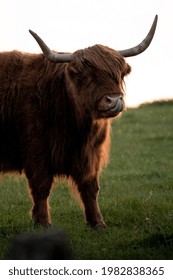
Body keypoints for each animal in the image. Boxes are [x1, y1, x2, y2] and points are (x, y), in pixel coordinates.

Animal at [0, 15, 157, 228]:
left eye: (119, 74)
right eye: (86, 76)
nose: (114, 100)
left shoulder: (90, 155)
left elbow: (90, 187)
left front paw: (97, 223)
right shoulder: (36, 151)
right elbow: (41, 188)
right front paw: (43, 223)